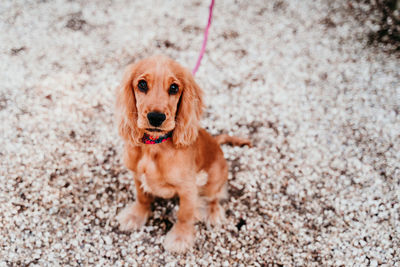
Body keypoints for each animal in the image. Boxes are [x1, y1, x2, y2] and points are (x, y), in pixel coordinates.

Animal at [115, 55, 250, 253]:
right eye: (142, 84)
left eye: (174, 88)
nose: (156, 118)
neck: (154, 147)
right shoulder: (137, 175)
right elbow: (142, 198)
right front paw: (135, 216)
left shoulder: (188, 187)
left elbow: (184, 214)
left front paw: (180, 237)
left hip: (213, 178)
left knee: (215, 196)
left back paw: (212, 213)